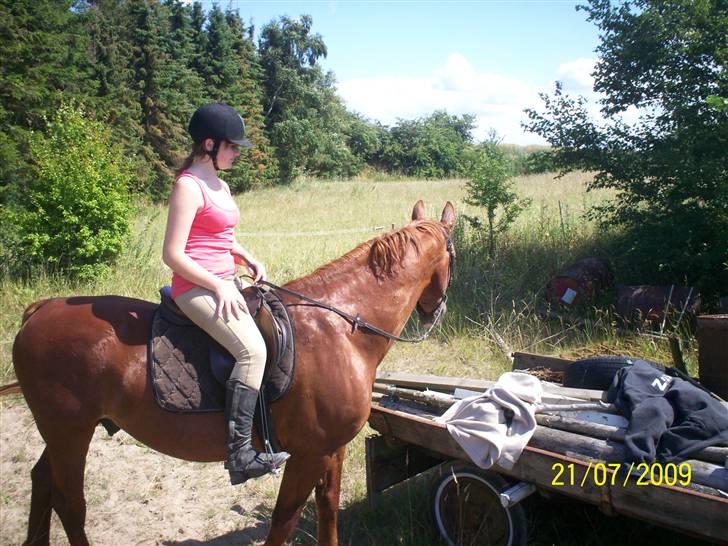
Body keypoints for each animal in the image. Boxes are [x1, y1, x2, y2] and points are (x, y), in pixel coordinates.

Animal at [11, 201, 456, 544]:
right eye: (453, 257)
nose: (436, 310)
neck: (340, 328)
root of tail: (42, 309)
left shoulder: (332, 449)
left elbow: (327, 510)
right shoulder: (308, 454)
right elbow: (284, 520)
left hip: (64, 433)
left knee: (41, 481)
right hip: (71, 433)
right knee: (69, 503)